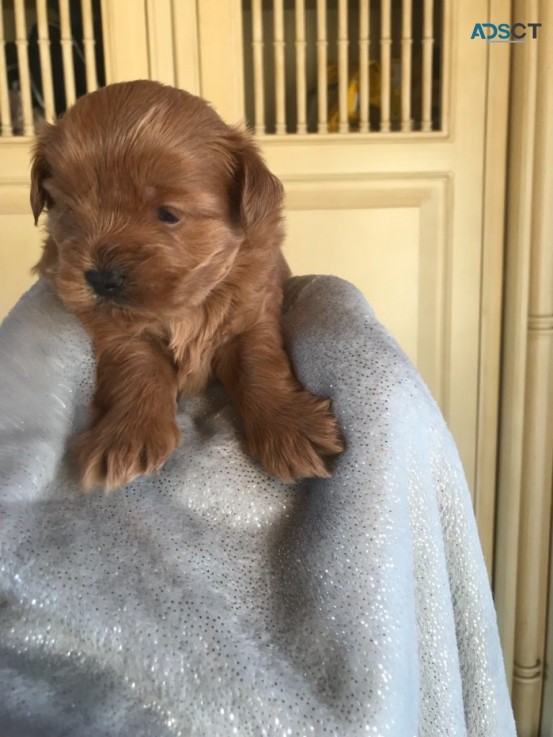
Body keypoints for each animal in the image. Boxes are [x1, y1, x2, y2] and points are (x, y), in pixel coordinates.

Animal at [30, 80, 342, 488]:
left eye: (168, 214)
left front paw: (289, 427)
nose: (101, 278)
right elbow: (138, 366)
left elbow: (259, 362)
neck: (188, 302)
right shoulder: (116, 329)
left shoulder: (251, 313)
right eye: (68, 209)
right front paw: (127, 435)